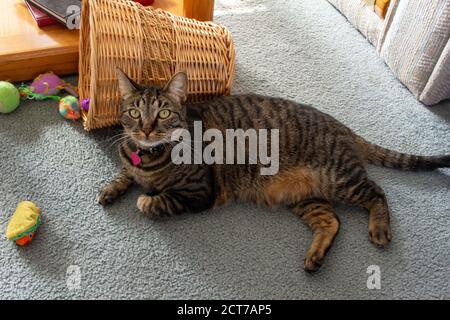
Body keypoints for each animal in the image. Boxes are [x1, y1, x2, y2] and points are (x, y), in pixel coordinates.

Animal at [98, 69, 450, 272]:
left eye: (164, 113)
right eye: (134, 112)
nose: (145, 130)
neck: (148, 156)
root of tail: (343, 127)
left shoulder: (198, 192)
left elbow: (157, 201)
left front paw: (145, 199)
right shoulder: (131, 160)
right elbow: (124, 173)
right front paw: (110, 189)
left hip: (340, 178)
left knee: (377, 192)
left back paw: (379, 229)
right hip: (307, 197)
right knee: (332, 221)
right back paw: (315, 257)